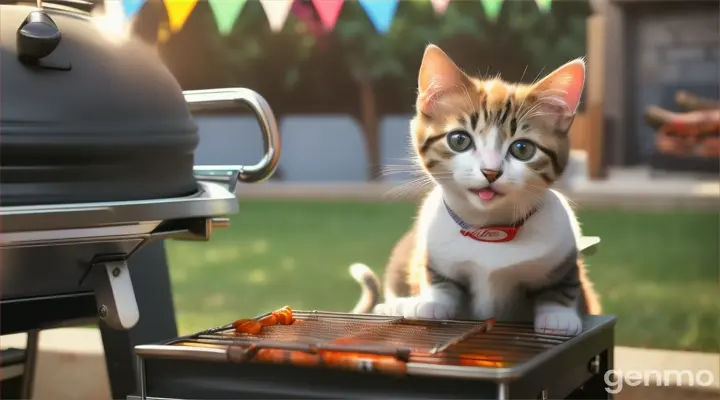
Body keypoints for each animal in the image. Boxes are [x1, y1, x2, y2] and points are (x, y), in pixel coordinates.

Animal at [348, 44, 600, 338]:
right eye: (459, 140)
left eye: (522, 149)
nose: (490, 172)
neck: (489, 231)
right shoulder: (432, 250)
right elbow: (438, 281)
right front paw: (432, 302)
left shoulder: (565, 254)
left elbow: (564, 284)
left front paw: (559, 315)